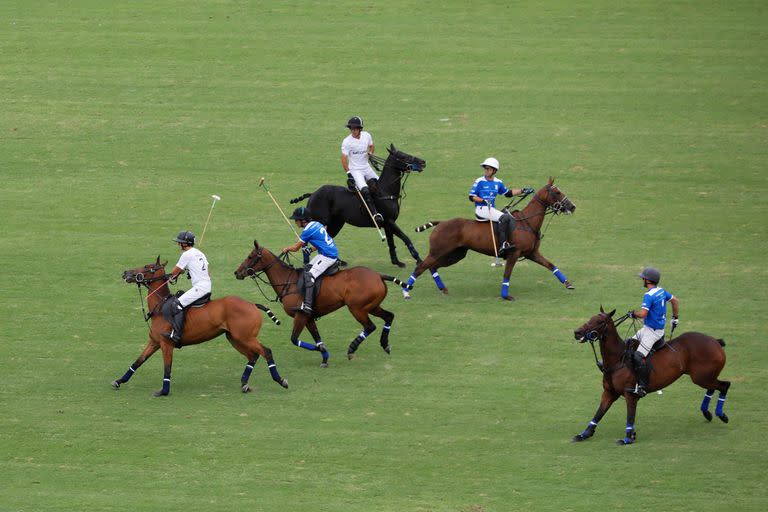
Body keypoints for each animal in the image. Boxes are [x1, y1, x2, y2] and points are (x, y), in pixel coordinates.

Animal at [115, 258, 290, 398]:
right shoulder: (154, 342)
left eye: (147, 266)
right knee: (253, 355)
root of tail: (253, 304)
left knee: (266, 351)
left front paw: (164, 391)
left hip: (246, 337)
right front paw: (119, 381)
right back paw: (244, 383)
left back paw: (280, 380)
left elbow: (167, 367)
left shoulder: (166, 344)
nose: (125, 273)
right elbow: (138, 361)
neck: (160, 307)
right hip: (234, 338)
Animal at [234, 242, 408, 366]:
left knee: (370, 326)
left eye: (250, 256)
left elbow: (295, 339)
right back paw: (385, 344)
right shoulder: (308, 317)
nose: (237, 273)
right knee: (389, 316)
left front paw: (322, 350)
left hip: (357, 308)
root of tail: (378, 275)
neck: (287, 281)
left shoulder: (301, 315)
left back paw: (352, 348)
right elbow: (317, 337)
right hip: (371, 306)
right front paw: (324, 357)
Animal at [292, 144, 428, 268]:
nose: (423, 162)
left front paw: (397, 262)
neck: (386, 192)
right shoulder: (389, 221)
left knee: (327, 238)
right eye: (403, 156)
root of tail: (313, 194)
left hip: (336, 223)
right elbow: (406, 238)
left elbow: (391, 243)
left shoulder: (388, 224)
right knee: (307, 240)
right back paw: (308, 261)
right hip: (319, 221)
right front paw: (418, 259)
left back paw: (338, 261)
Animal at [402, 179, 576, 300]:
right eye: (557, 192)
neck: (527, 222)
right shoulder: (514, 254)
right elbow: (507, 274)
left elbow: (551, 265)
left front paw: (568, 284)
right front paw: (506, 296)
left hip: (456, 254)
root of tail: (441, 222)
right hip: (439, 251)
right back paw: (406, 291)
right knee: (421, 267)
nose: (572, 206)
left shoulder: (532, 253)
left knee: (432, 267)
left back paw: (442, 289)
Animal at [572, 308, 728, 444]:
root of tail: (716, 341)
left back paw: (721, 415)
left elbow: (630, 416)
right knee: (713, 387)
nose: (577, 332)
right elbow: (598, 413)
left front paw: (628, 438)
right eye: (590, 318)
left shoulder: (630, 394)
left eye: (599, 321)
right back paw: (707, 413)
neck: (617, 359)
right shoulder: (609, 392)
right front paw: (584, 434)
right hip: (705, 377)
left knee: (725, 385)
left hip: (701, 377)